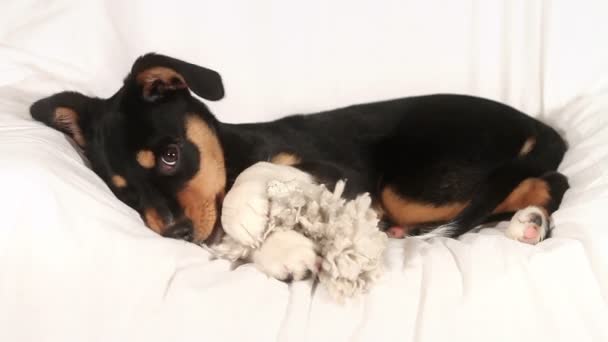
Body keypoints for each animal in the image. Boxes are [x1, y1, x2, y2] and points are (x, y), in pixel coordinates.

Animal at [28, 52, 568, 278]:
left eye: (170, 155)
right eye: (124, 191)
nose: (178, 233)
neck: (232, 149)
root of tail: (539, 126)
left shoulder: (349, 178)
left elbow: (255, 180)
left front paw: (249, 217)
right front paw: (284, 253)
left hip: (409, 188)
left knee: (550, 181)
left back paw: (531, 221)